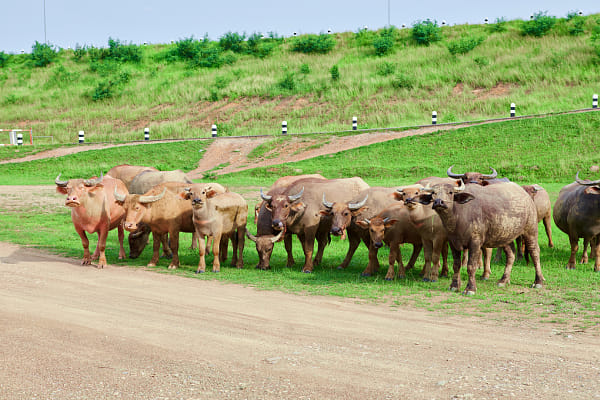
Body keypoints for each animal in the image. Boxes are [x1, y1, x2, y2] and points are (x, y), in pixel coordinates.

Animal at [414, 180, 548, 296]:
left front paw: (470, 288)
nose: (439, 202)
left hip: (531, 230)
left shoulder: (475, 242)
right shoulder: (453, 243)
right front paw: (454, 286)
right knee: (511, 255)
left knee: (535, 252)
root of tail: (526, 196)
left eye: (450, 192)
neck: (457, 218)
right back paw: (503, 280)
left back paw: (538, 281)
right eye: (433, 193)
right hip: (505, 236)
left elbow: (471, 266)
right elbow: (456, 265)